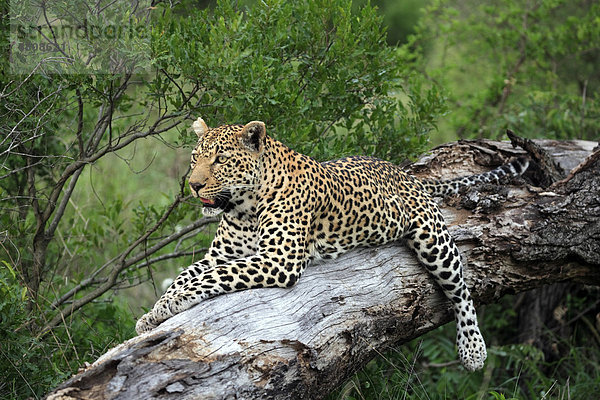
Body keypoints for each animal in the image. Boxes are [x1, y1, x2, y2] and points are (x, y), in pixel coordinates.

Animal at [136, 117, 528, 370]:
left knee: (461, 290)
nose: (194, 185)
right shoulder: (222, 254)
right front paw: (152, 314)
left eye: (220, 160)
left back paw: (473, 349)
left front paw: (169, 305)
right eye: (195, 158)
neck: (244, 207)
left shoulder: (278, 259)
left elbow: (208, 279)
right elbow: (187, 274)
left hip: (432, 240)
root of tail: (404, 172)